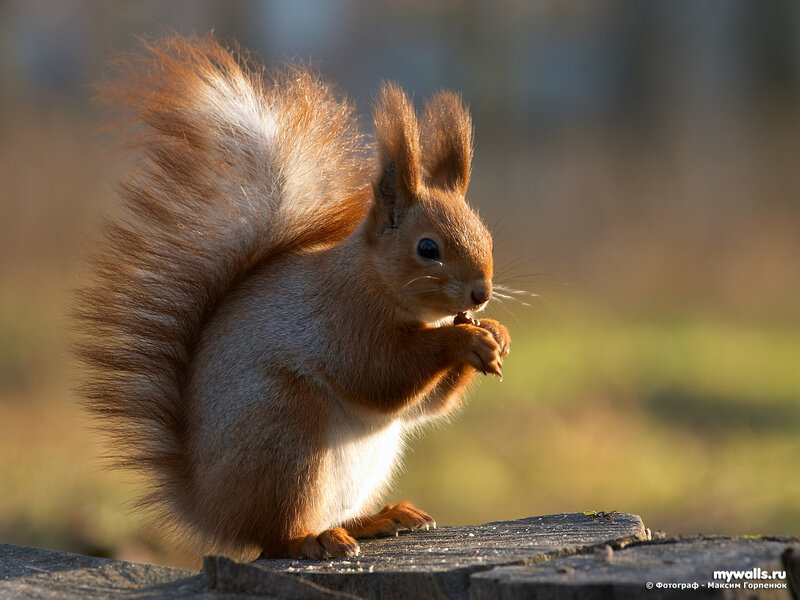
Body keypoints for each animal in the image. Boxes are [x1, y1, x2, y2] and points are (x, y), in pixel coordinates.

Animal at [74, 35, 510, 561]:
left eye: (487, 235)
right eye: (428, 248)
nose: (481, 294)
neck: (371, 279)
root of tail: (210, 508)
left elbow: (424, 407)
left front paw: (496, 334)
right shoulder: (344, 319)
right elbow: (380, 375)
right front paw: (465, 342)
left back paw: (378, 519)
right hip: (286, 429)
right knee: (275, 535)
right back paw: (314, 538)